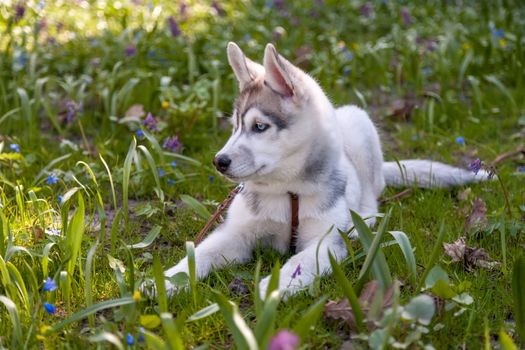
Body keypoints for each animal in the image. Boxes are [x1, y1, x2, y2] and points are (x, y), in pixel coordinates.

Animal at [158, 42, 490, 296]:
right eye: (235, 126)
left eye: (260, 126)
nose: (219, 161)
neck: (288, 191)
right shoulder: (237, 233)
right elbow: (201, 252)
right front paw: (167, 280)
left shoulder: (326, 240)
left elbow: (299, 262)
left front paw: (275, 287)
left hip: (358, 123)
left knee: (372, 196)